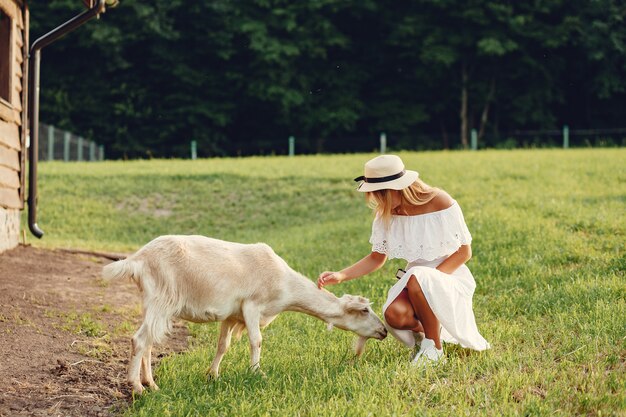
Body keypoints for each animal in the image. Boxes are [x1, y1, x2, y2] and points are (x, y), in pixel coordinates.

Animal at [102, 234, 386, 394]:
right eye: (364, 310)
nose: (383, 330)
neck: (285, 285)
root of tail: (137, 259)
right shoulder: (252, 305)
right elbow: (256, 340)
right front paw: (257, 372)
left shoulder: (232, 315)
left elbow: (223, 345)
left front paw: (212, 375)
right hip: (163, 299)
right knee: (139, 340)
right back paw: (137, 387)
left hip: (153, 303)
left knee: (148, 343)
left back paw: (151, 384)